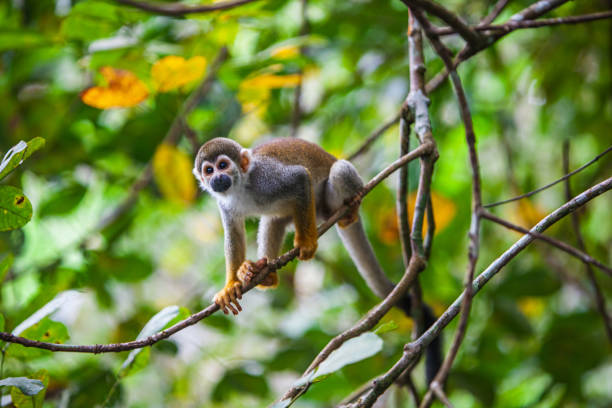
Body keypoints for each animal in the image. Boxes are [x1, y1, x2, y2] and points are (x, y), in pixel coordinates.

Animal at [194, 137, 442, 382]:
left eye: (223, 165)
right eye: (208, 170)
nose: (216, 178)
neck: (240, 187)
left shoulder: (266, 179)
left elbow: (300, 178)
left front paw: (306, 243)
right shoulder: (225, 204)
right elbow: (234, 233)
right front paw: (230, 286)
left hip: (329, 201)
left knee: (339, 171)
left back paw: (349, 212)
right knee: (274, 220)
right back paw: (263, 274)